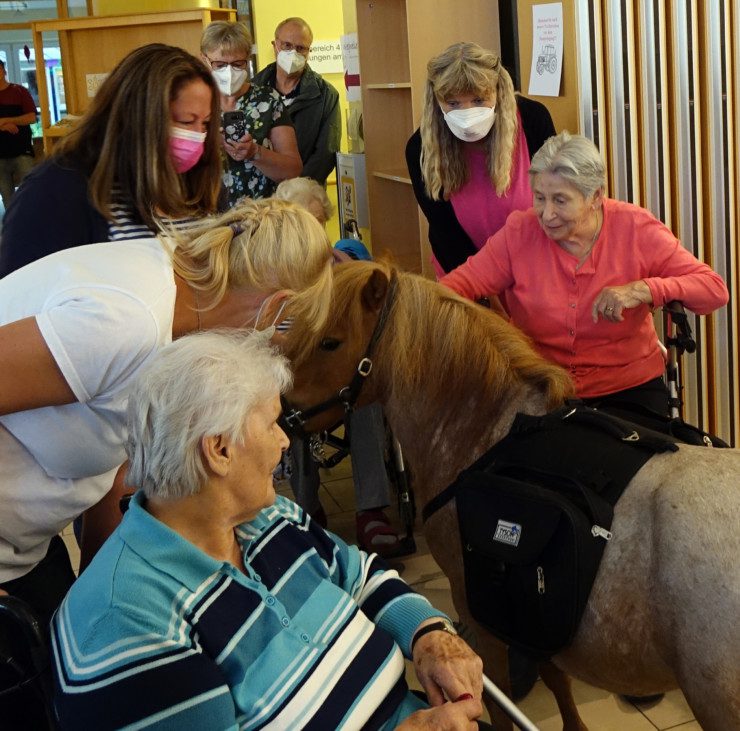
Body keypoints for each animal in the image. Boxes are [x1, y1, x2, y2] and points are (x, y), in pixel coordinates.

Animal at [282, 260, 740, 728]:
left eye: (330, 342)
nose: (284, 414)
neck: (487, 430)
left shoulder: (479, 613)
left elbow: (501, 702)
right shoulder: (532, 618)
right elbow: (557, 679)